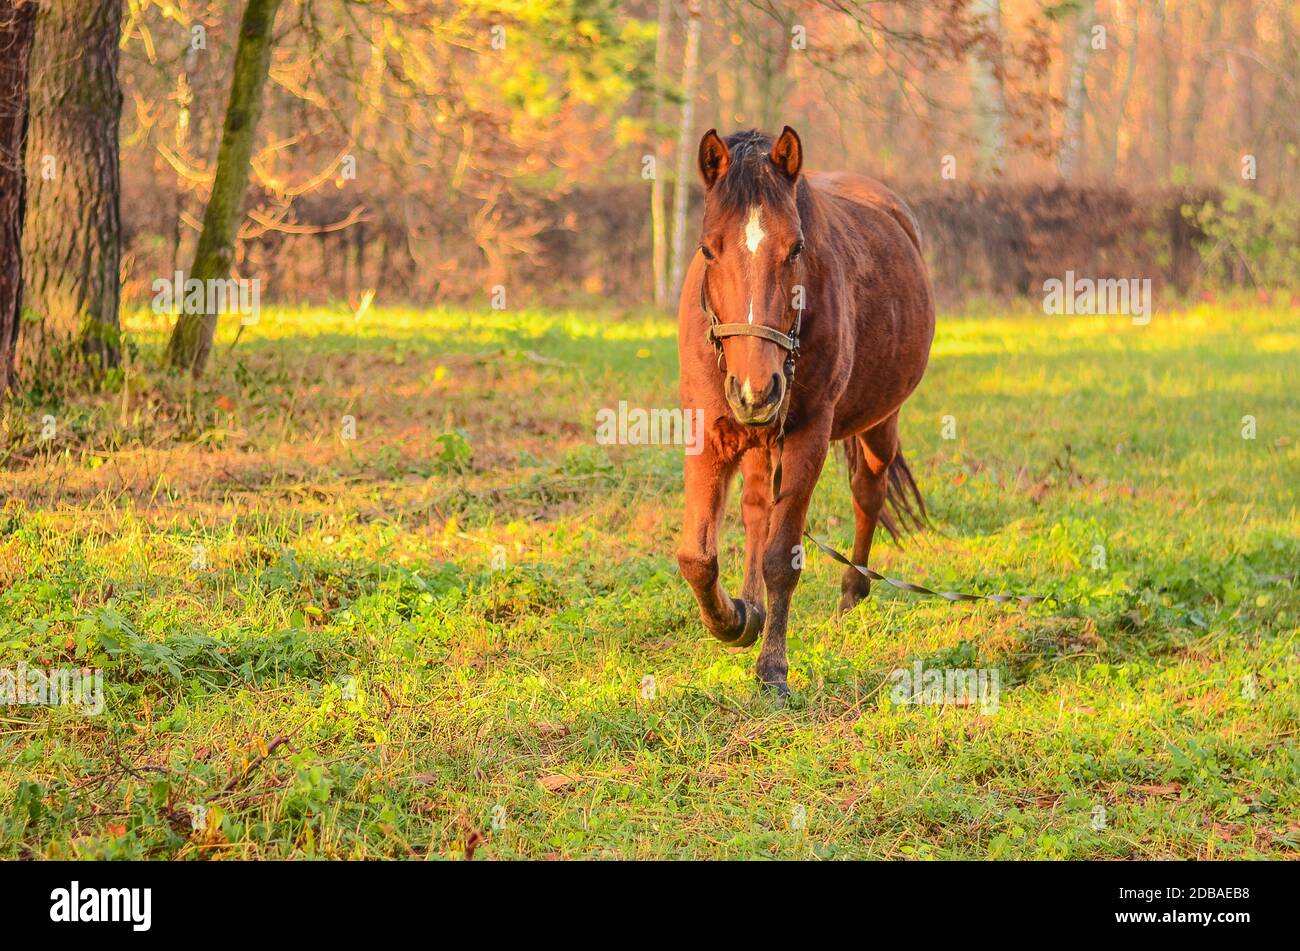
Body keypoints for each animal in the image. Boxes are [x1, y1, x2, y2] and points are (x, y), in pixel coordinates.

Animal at [676, 126, 935, 696]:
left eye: (795, 248)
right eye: (707, 249)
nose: (756, 391)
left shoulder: (808, 436)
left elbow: (782, 559)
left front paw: (773, 667)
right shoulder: (710, 432)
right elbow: (697, 557)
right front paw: (735, 619)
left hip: (880, 423)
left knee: (868, 494)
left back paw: (851, 595)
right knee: (756, 509)